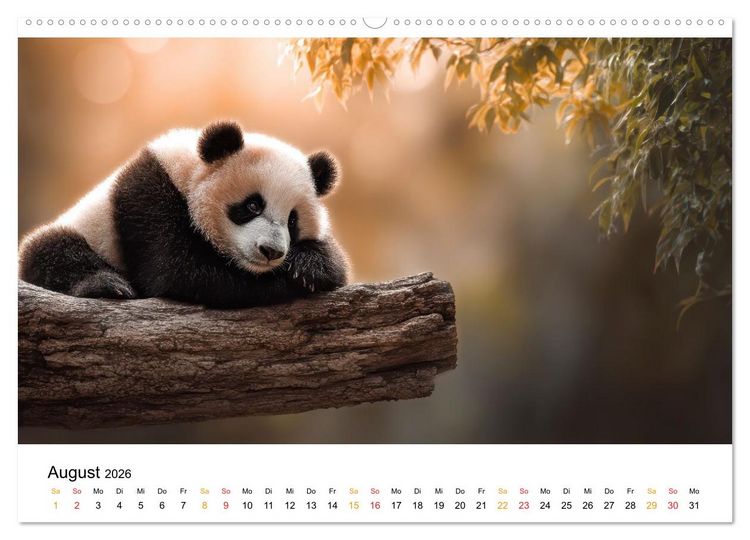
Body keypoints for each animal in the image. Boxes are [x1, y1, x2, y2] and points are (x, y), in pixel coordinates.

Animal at [18, 121, 350, 308]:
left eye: (293, 220)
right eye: (253, 205)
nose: (272, 252)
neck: (188, 171)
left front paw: (310, 266)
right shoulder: (148, 198)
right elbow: (184, 271)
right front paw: (287, 283)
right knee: (48, 249)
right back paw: (107, 285)